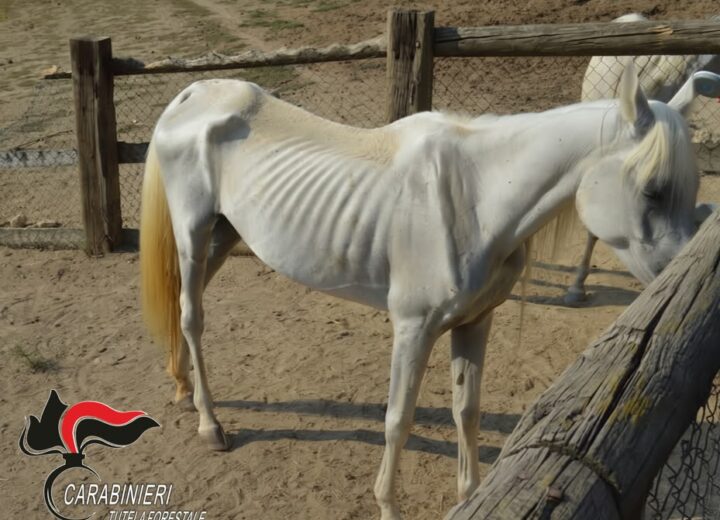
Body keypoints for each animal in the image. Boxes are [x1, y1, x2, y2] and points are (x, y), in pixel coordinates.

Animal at [139, 63, 718, 520]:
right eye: (653, 189)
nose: (678, 271)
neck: (479, 197)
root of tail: (193, 95)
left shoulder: (476, 322)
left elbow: (468, 410)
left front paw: (470, 495)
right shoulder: (413, 329)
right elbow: (398, 420)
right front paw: (389, 507)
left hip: (223, 234)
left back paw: (182, 388)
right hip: (193, 235)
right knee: (192, 317)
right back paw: (211, 425)